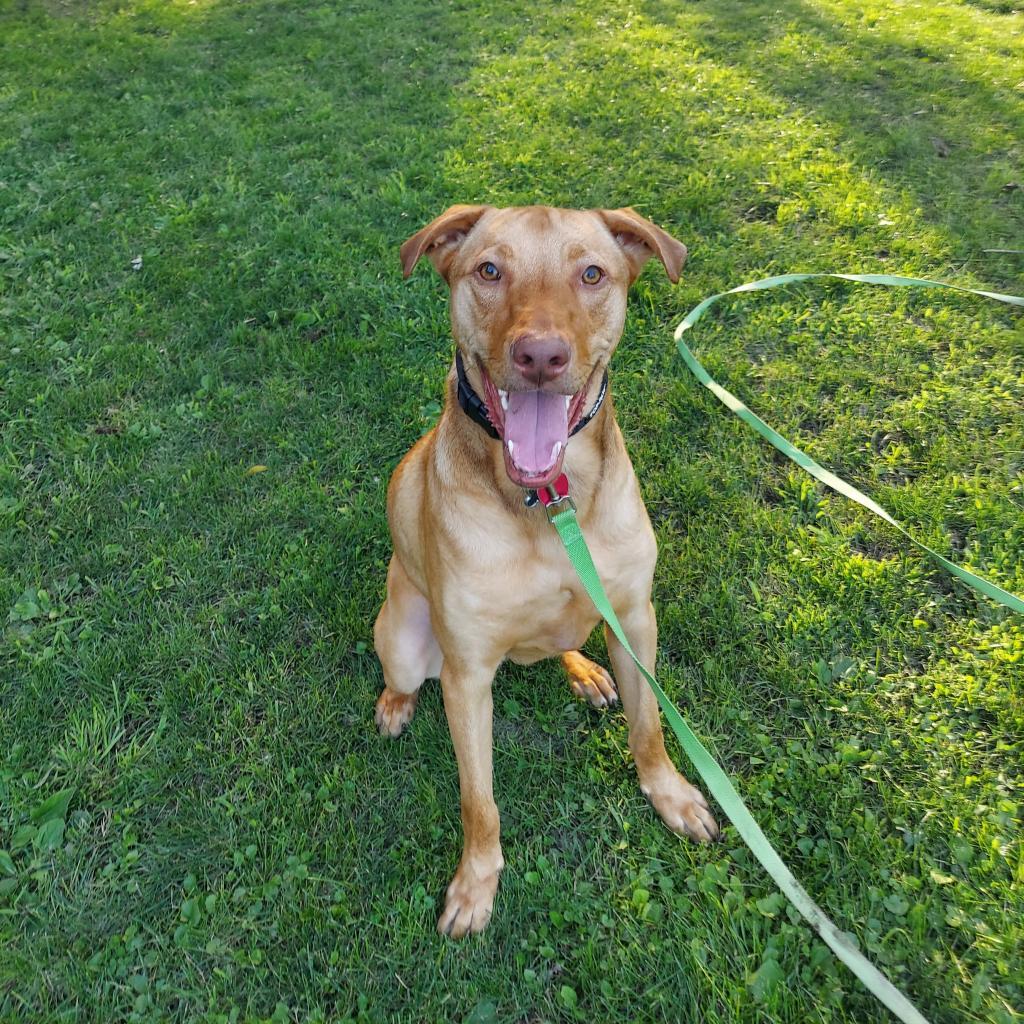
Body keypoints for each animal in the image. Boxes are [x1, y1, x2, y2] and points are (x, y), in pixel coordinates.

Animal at [376, 205, 720, 937]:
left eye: (591, 274)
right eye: (488, 270)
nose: (540, 355)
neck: (547, 499)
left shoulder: (635, 619)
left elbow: (650, 728)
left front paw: (671, 795)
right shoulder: (466, 675)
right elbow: (479, 801)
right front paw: (476, 884)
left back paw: (585, 671)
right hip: (407, 641)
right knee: (403, 675)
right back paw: (395, 704)